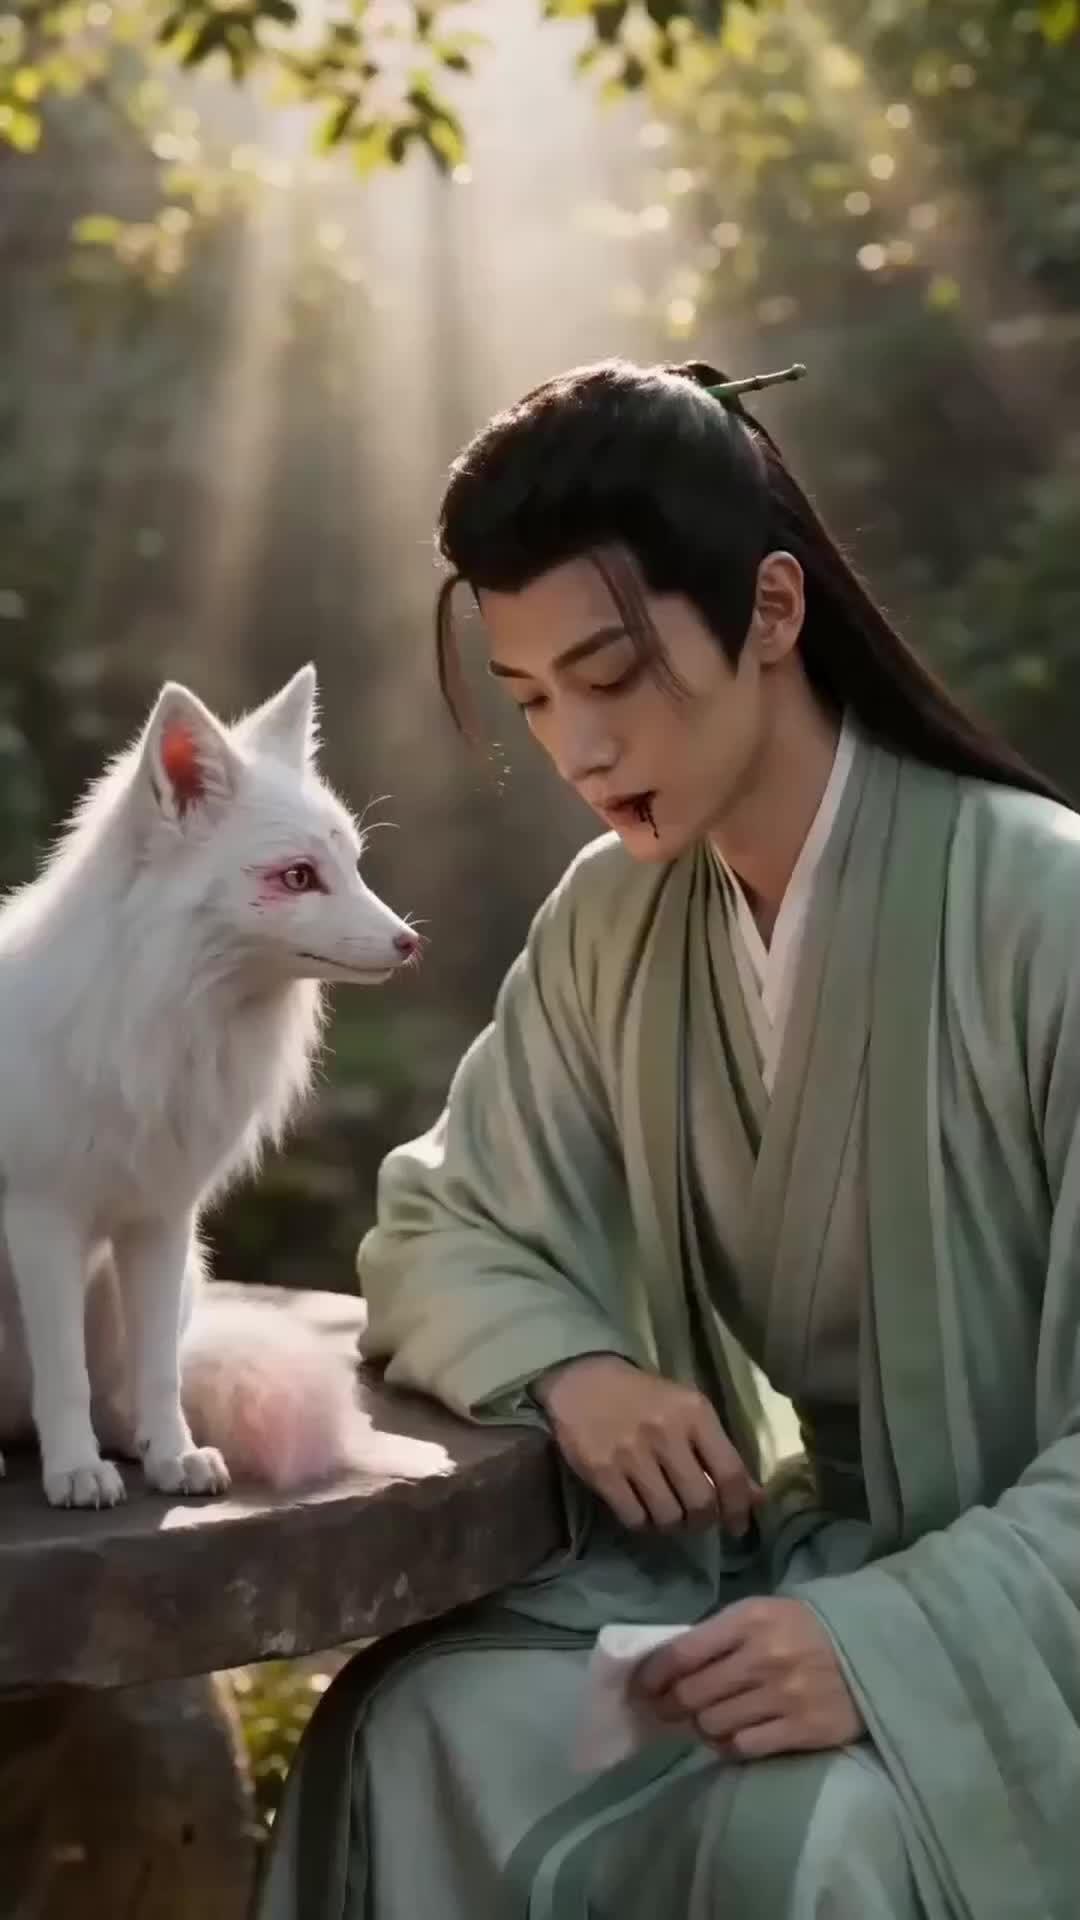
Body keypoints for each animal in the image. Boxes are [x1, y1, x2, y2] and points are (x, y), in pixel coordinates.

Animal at [0, 663, 446, 1508]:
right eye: (298, 877)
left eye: (353, 865)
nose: (410, 942)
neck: (150, 1017)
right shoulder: (44, 1220)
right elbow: (63, 1377)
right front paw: (75, 1471)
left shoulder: (159, 1220)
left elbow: (159, 1376)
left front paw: (173, 1457)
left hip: (179, 1279)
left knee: (122, 1391)